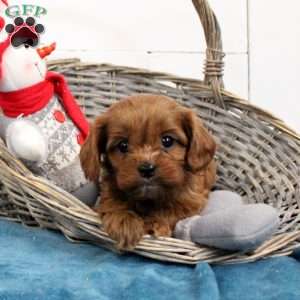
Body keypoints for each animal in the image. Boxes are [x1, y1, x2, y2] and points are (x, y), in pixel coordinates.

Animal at [79, 95, 216, 250]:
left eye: (167, 140)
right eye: (123, 145)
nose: (147, 169)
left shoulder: (193, 201)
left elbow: (173, 210)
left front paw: (154, 223)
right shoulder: (108, 192)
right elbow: (111, 203)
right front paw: (124, 220)